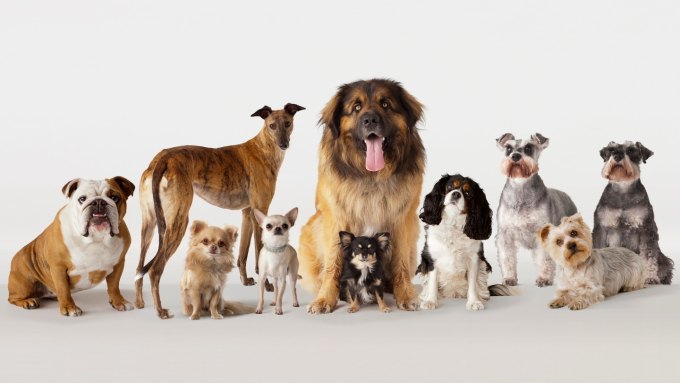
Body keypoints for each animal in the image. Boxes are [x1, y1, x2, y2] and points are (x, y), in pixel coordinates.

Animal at [7, 177, 135, 316]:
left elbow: (114, 286)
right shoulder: (58, 268)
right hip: (24, 283)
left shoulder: (118, 264)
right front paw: (69, 307)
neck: (96, 237)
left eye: (114, 197)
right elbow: (63, 289)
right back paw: (28, 301)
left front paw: (119, 302)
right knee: (13, 298)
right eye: (82, 199)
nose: (98, 202)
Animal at [135, 103, 306, 320]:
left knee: (140, 266)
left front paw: (245, 280)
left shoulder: (247, 213)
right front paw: (267, 285)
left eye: (288, 123)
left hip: (149, 225)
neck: (263, 147)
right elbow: (259, 250)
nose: (284, 144)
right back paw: (160, 310)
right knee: (155, 269)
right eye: (272, 126)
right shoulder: (260, 210)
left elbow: (242, 253)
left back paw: (139, 303)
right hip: (178, 222)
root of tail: (162, 159)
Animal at [298, 79, 424, 316]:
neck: (371, 175)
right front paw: (325, 299)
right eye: (356, 107)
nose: (370, 120)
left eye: (385, 104)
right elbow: (333, 264)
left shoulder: (402, 220)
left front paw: (405, 295)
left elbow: (401, 263)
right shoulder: (335, 218)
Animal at [494, 135, 580, 288]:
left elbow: (545, 259)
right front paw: (509, 278)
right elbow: (507, 258)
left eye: (528, 147)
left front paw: (544, 279)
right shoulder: (505, 234)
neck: (521, 188)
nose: (515, 156)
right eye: (508, 148)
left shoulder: (543, 233)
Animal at [592, 141, 672, 284]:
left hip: (662, 259)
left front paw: (650, 277)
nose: (617, 156)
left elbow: (649, 255)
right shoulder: (601, 229)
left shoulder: (646, 229)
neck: (623, 189)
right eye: (611, 150)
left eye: (631, 150)